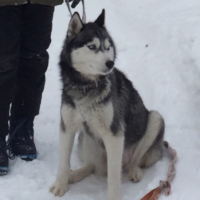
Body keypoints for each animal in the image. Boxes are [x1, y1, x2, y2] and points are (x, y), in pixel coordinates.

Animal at [49, 10, 164, 200]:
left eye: (108, 47)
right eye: (92, 47)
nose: (110, 63)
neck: (86, 86)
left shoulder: (114, 135)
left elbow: (113, 176)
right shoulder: (67, 127)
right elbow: (63, 163)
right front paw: (61, 185)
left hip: (155, 120)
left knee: (134, 161)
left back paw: (134, 171)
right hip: (86, 138)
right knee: (92, 166)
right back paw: (76, 174)